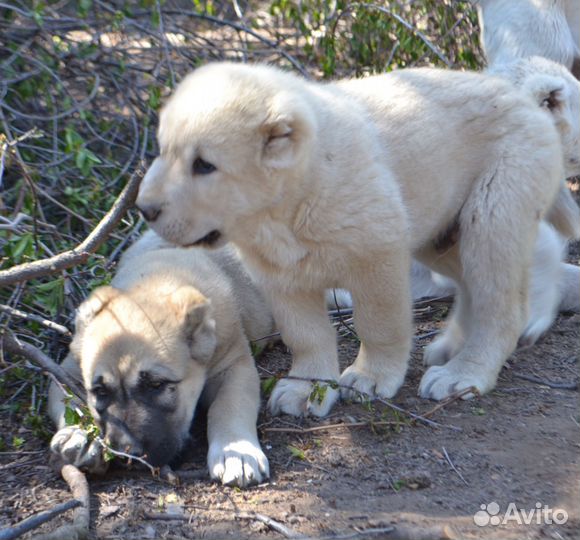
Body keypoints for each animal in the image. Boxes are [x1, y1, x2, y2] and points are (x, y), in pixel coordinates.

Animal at [48, 230, 274, 488]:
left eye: (157, 384)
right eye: (100, 391)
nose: (126, 453)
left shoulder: (235, 363)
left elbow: (230, 404)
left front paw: (236, 450)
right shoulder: (69, 367)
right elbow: (67, 397)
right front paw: (80, 434)